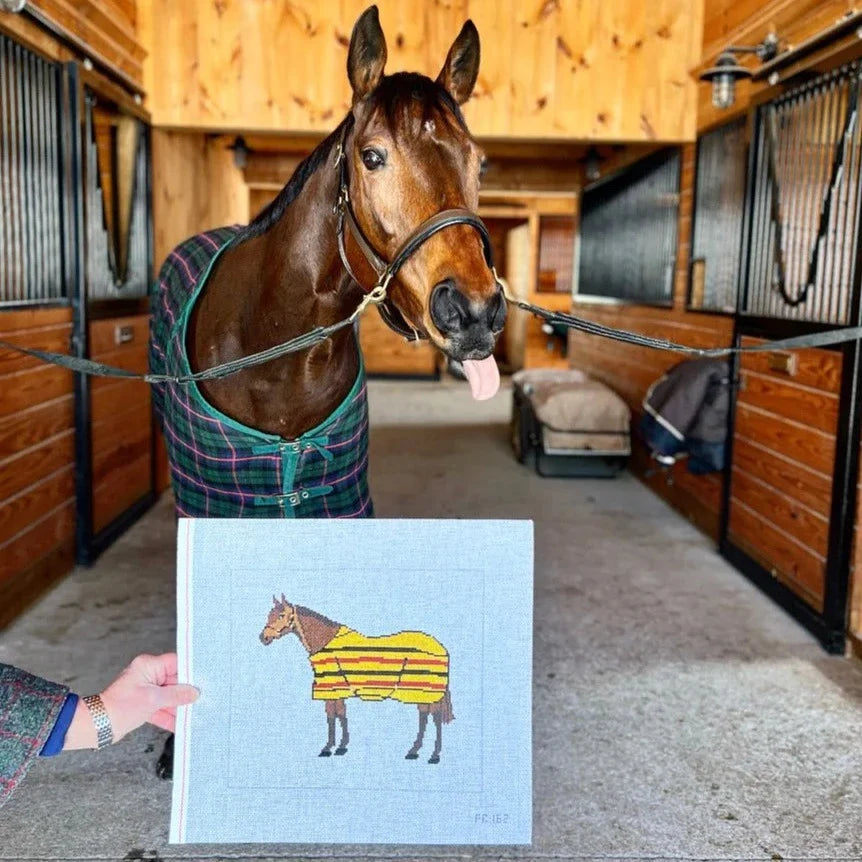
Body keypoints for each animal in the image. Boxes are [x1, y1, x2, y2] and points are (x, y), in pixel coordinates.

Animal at [260, 596, 454, 763]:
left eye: (281, 615)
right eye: (270, 614)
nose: (263, 638)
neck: (324, 641)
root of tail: (441, 647)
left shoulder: (331, 688)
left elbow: (332, 716)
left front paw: (328, 748)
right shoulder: (337, 690)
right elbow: (339, 714)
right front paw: (341, 747)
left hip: (426, 690)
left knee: (435, 717)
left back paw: (433, 755)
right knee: (425, 715)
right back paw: (415, 751)